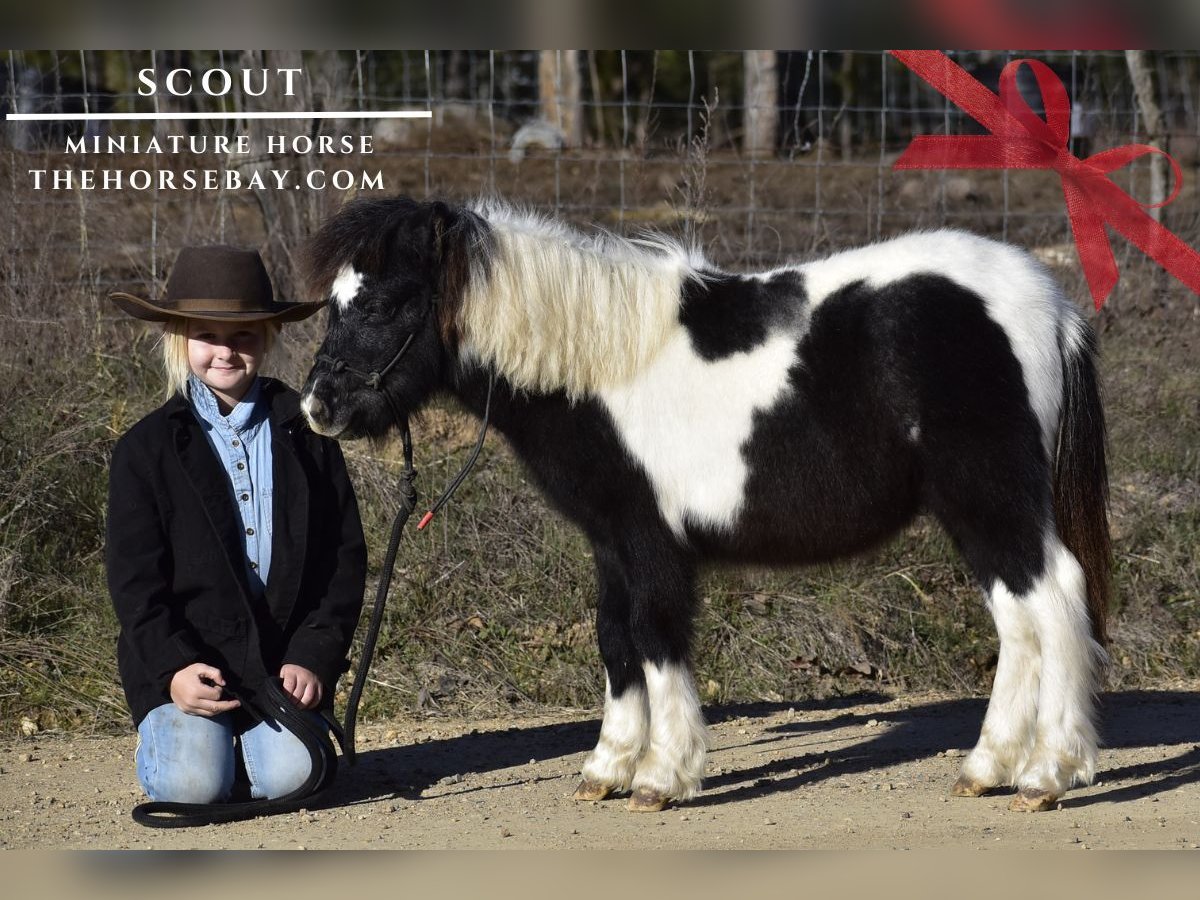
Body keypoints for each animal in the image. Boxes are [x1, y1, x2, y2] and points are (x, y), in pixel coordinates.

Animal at [302, 199, 1113, 816]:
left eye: (383, 302)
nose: (319, 407)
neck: (600, 366)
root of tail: (1048, 304)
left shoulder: (650, 541)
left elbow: (656, 639)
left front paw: (662, 777)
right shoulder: (611, 543)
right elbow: (614, 642)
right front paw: (607, 768)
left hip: (991, 498)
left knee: (1055, 602)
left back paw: (1047, 774)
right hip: (976, 513)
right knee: (1020, 624)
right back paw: (987, 768)